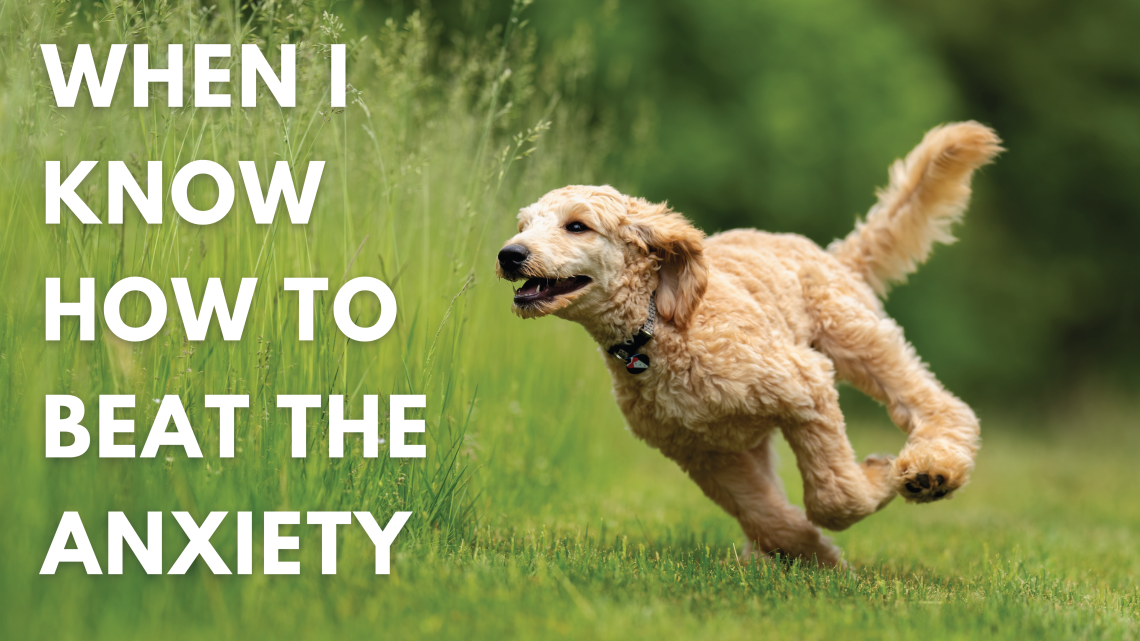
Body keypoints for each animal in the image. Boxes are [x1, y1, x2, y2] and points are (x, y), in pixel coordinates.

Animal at [494, 120, 1003, 563]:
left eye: (577, 226)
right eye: (523, 225)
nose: (509, 254)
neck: (658, 332)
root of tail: (831, 254)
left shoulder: (805, 386)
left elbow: (835, 496)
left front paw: (876, 479)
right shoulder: (704, 453)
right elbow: (764, 512)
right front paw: (810, 554)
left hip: (855, 338)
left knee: (938, 404)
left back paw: (932, 471)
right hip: (755, 434)